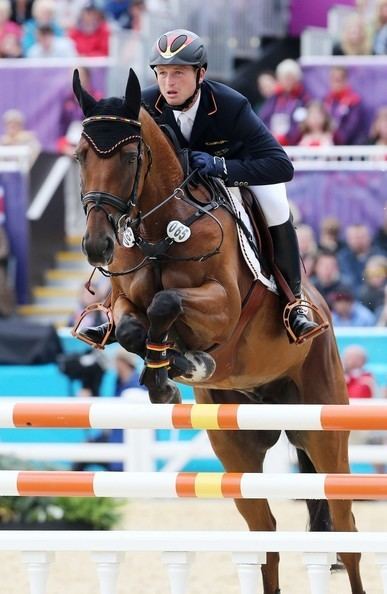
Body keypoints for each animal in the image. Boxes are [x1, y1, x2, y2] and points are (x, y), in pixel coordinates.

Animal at [73, 69, 366, 592]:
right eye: (80, 156)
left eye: (129, 157)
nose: (97, 246)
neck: (160, 229)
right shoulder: (125, 299)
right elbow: (130, 329)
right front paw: (165, 376)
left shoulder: (224, 307)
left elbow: (168, 303)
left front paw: (184, 363)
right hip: (235, 445)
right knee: (265, 535)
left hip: (324, 427)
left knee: (346, 527)